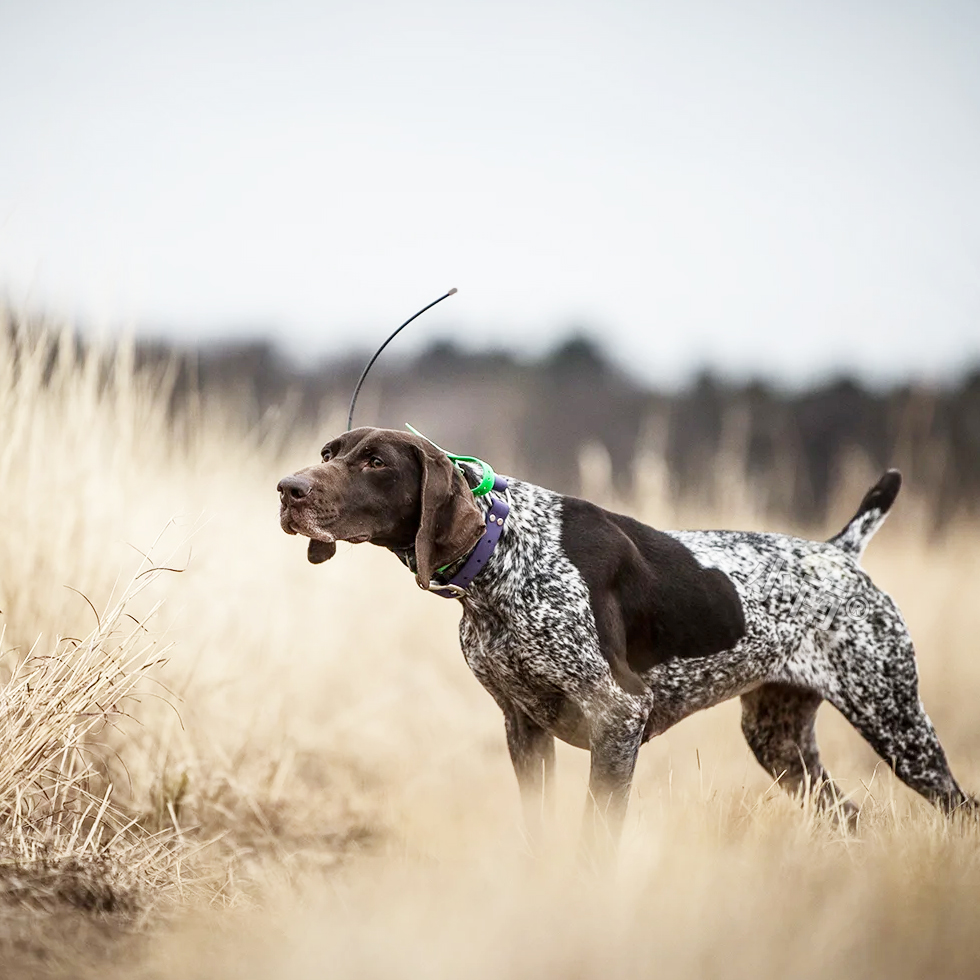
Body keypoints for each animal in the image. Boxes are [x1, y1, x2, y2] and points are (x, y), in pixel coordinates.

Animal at [278, 426, 972, 844]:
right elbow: (540, 829)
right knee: (849, 816)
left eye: (375, 461)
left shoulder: (618, 715)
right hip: (780, 742)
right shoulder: (524, 727)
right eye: (328, 453)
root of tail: (841, 551)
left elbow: (596, 834)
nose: (288, 489)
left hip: (897, 723)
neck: (504, 552)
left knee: (961, 810)